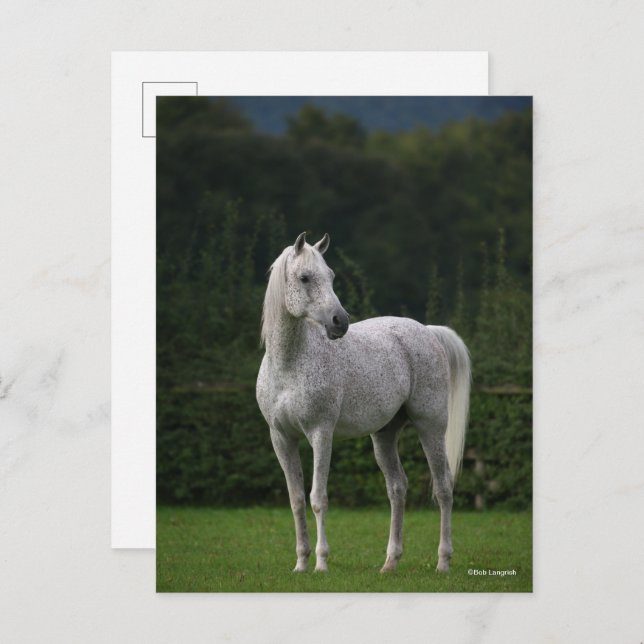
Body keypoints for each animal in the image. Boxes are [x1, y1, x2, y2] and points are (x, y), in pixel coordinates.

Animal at [256, 232, 471, 574]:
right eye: (305, 278)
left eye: (330, 276)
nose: (340, 322)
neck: (289, 364)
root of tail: (427, 332)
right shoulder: (281, 438)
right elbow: (296, 500)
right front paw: (301, 563)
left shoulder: (321, 434)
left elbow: (318, 498)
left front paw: (321, 563)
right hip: (384, 436)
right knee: (397, 488)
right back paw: (390, 563)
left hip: (431, 428)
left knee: (443, 488)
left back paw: (442, 562)